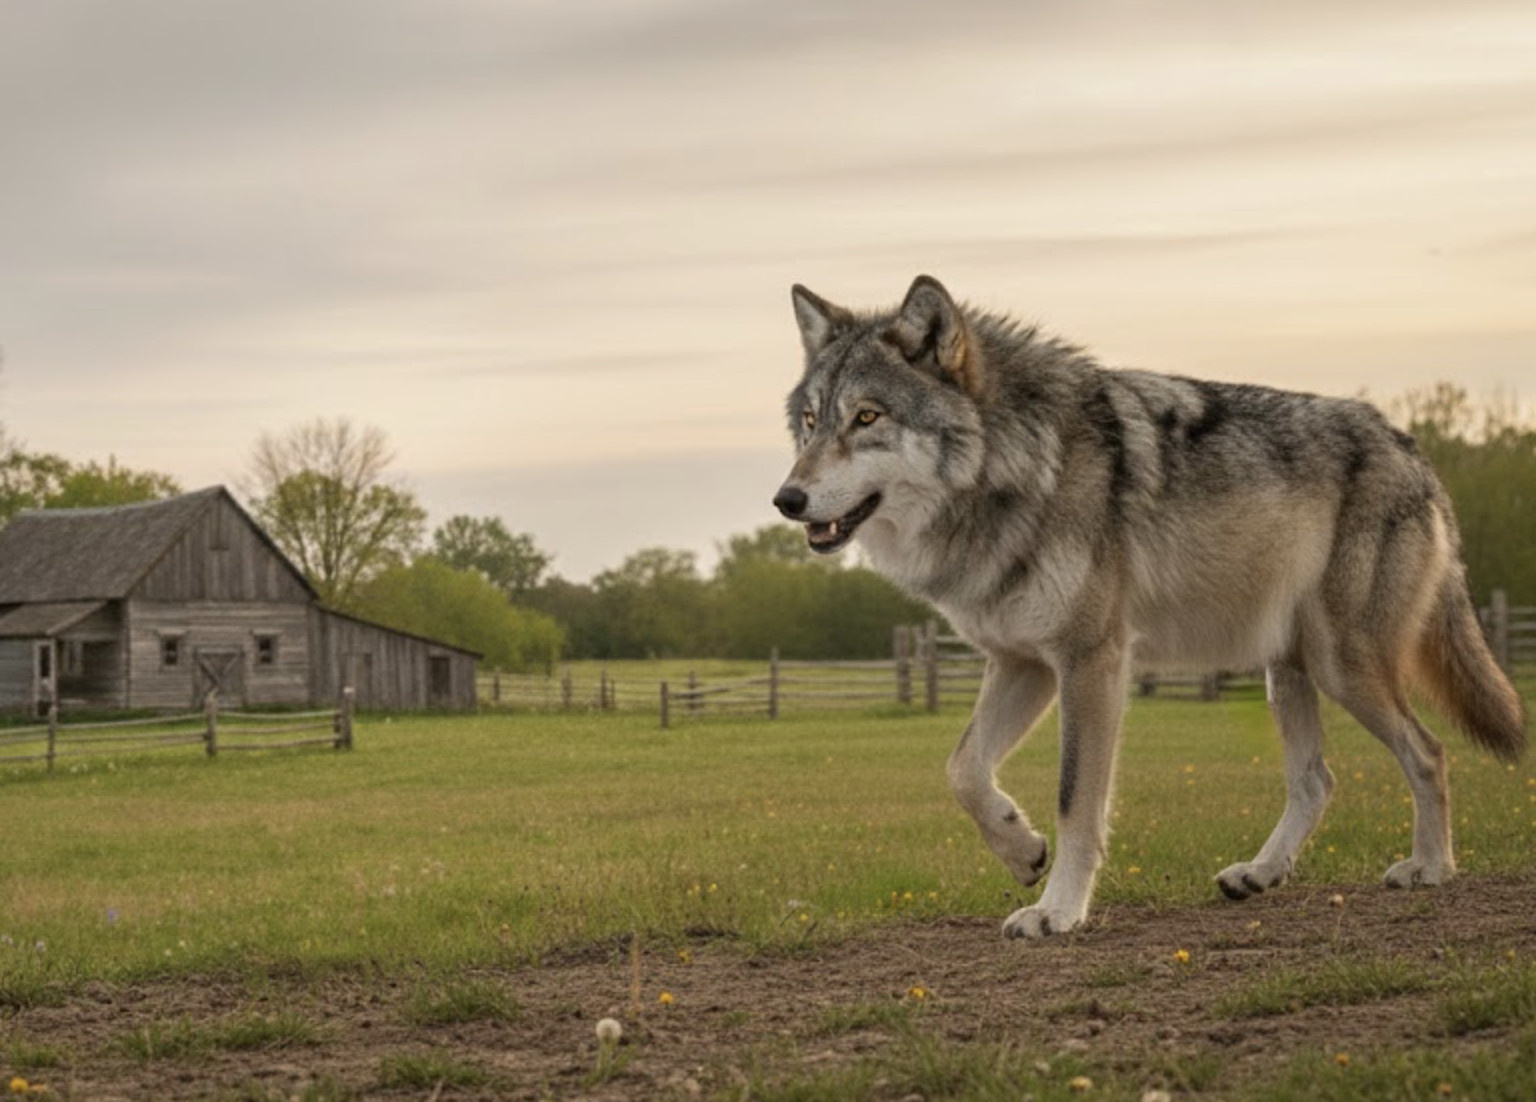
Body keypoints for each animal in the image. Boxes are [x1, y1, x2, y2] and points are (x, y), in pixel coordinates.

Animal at [773, 275, 1527, 939]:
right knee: (1317, 781)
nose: (786, 499)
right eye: (810, 422)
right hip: (1286, 671)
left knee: (1429, 753)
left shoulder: (1089, 661)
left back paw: (1431, 868)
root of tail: (1410, 448)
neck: (1017, 467)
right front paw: (1023, 851)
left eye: (867, 417)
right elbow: (962, 771)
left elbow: (1077, 799)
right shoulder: (1023, 664)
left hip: (1343, 666)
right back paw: (1259, 875)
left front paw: (1057, 911)